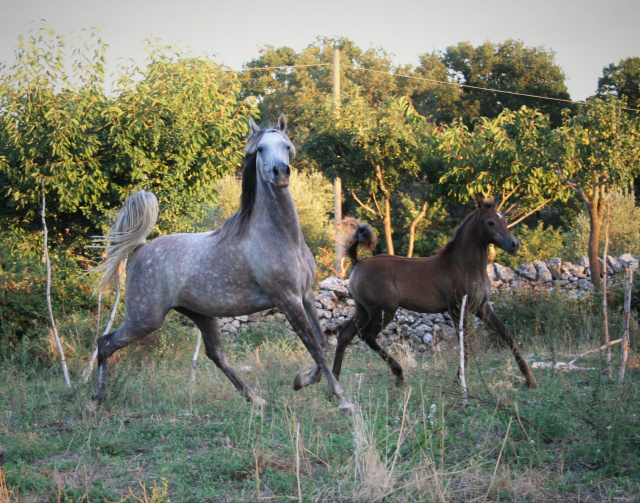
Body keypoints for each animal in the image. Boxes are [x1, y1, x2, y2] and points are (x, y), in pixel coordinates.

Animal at [91, 115, 356, 414]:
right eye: (260, 149)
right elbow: (314, 346)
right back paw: (96, 400)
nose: (280, 172)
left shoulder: (305, 294)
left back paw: (256, 398)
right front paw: (343, 399)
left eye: (286, 146)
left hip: (200, 315)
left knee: (216, 355)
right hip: (145, 318)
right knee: (105, 343)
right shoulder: (287, 299)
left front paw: (303, 380)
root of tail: (141, 248)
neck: (279, 237)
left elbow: (321, 341)